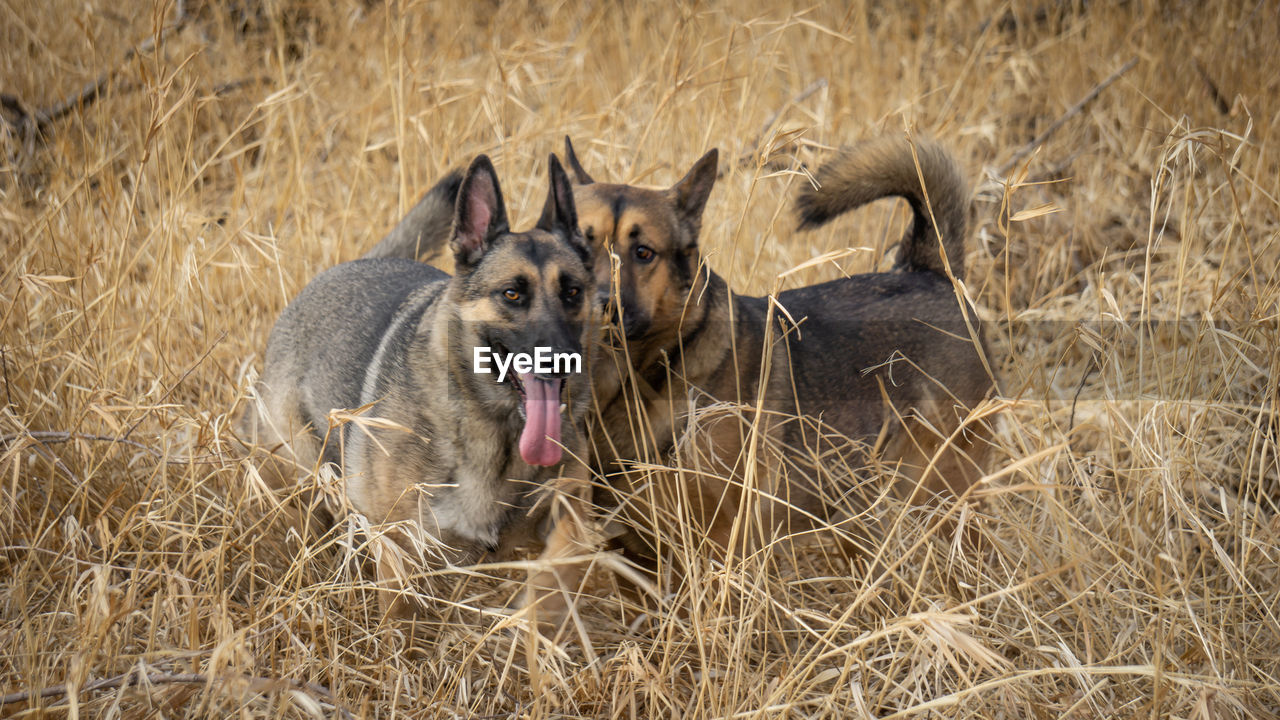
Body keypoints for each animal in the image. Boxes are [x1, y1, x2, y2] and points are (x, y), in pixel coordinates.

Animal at [238, 152, 596, 622]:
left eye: (572, 292)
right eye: (512, 294)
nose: (561, 361)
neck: (494, 432)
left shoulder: (567, 511)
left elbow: (562, 564)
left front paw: (539, 617)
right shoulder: (397, 542)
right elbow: (398, 618)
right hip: (299, 473)